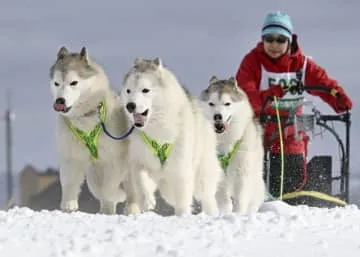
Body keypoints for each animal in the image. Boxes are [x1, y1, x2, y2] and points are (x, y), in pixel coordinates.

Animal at [48, 46, 131, 214]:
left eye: (73, 82)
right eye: (56, 83)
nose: (60, 101)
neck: (85, 119)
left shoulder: (115, 160)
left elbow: (109, 189)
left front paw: (117, 195)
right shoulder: (71, 157)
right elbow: (71, 183)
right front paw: (69, 204)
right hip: (94, 171)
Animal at [119, 57, 222, 215]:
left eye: (145, 90)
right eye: (128, 90)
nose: (130, 106)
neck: (157, 131)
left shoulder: (181, 169)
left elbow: (183, 200)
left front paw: (182, 216)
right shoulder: (139, 161)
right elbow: (141, 181)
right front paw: (147, 201)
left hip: (201, 174)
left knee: (206, 196)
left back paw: (211, 212)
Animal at [198, 75, 266, 214]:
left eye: (227, 103)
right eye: (211, 103)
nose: (217, 116)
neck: (224, 140)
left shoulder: (242, 171)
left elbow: (240, 197)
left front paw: (239, 213)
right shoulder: (218, 174)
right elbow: (223, 199)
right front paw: (225, 213)